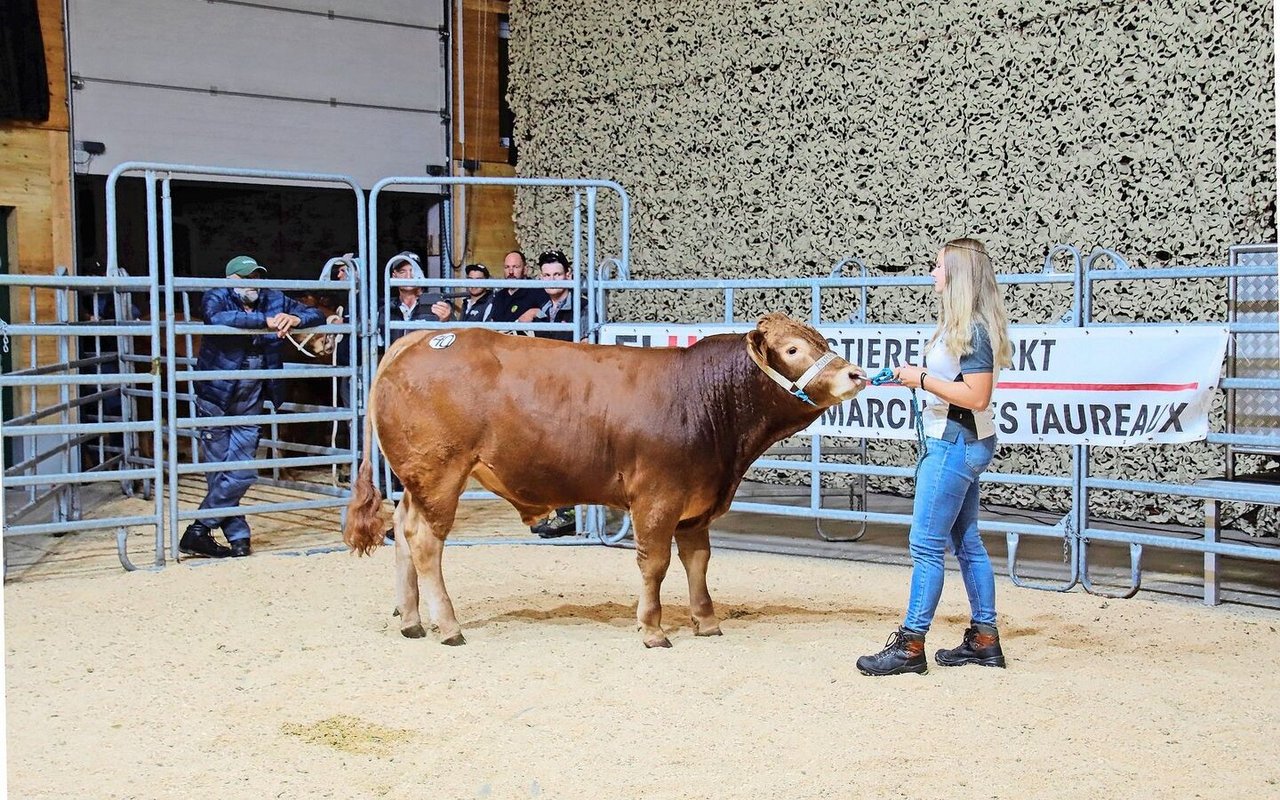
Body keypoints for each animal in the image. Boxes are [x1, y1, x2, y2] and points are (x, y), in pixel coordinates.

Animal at [345, 314, 865, 645]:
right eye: (793, 349)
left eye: (822, 341)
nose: (857, 374)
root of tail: (421, 338)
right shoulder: (657, 497)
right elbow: (655, 563)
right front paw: (653, 629)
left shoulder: (697, 504)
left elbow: (697, 562)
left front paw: (706, 621)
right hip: (440, 475)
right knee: (424, 540)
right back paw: (449, 626)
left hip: (418, 480)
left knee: (402, 530)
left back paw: (412, 619)